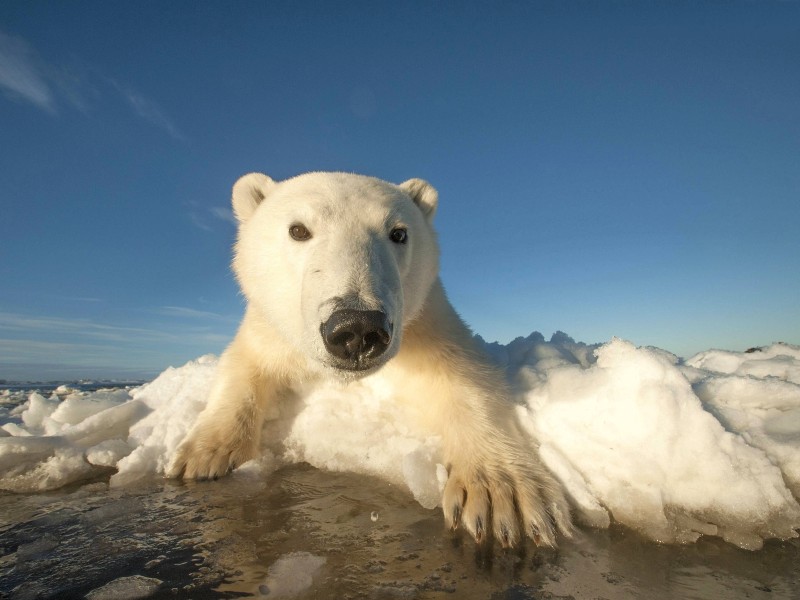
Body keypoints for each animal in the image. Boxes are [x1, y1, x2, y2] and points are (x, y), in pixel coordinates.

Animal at [169, 171, 572, 548]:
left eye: (398, 233)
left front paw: (501, 496)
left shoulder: (425, 318)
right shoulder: (270, 326)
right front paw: (201, 456)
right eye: (298, 230)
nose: (357, 327)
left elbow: (465, 374)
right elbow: (244, 365)